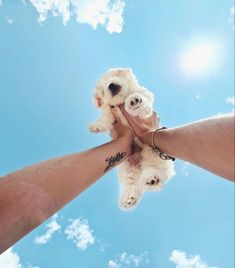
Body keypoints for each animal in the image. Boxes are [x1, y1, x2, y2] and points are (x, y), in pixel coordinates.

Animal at [89, 67, 175, 209]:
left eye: (113, 76)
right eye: (102, 90)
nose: (111, 85)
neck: (122, 101)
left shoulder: (146, 99)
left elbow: (142, 101)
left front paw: (134, 100)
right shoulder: (111, 111)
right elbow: (106, 115)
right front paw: (96, 126)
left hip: (152, 154)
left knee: (157, 172)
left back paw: (152, 179)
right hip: (127, 170)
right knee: (133, 186)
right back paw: (129, 199)